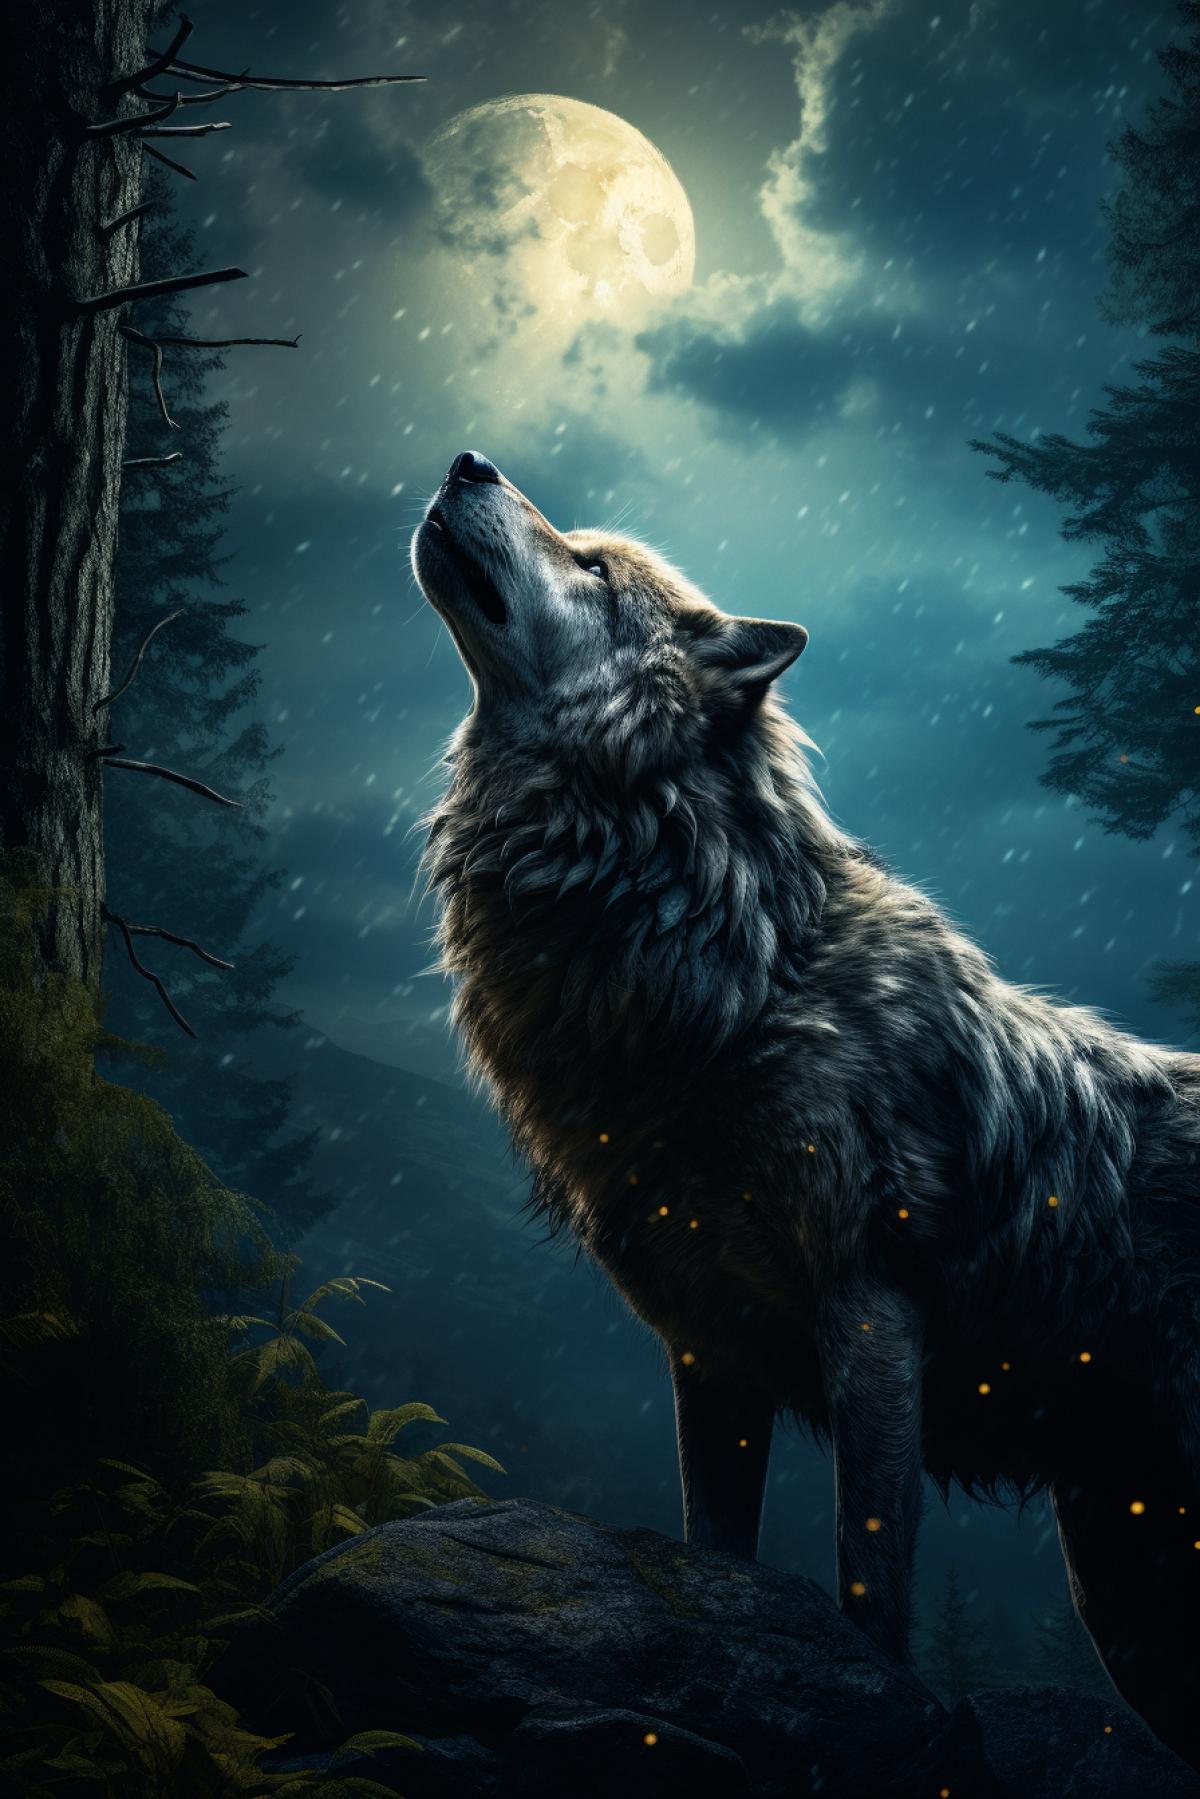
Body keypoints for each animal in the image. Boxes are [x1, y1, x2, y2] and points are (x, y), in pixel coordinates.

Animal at [412, 449, 1200, 1769]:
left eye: (594, 565)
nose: (469, 459)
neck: (739, 968)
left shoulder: (872, 1313)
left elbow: (868, 1577)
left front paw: (889, 1715)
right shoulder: (705, 1348)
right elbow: (714, 1549)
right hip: (1128, 1583)